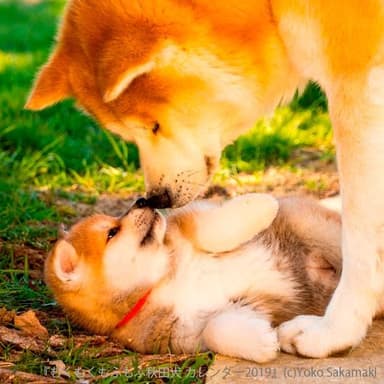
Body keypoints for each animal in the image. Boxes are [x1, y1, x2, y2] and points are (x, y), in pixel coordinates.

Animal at [45, 195, 342, 364]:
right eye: (112, 232)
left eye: (112, 223)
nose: (142, 200)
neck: (160, 279)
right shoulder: (189, 333)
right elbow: (215, 329)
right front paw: (261, 342)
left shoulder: (189, 222)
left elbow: (209, 230)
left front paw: (260, 205)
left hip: (317, 230)